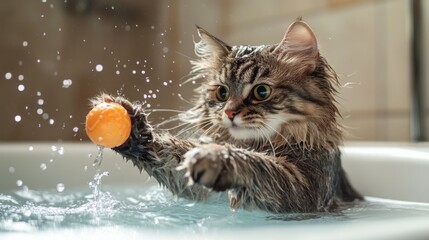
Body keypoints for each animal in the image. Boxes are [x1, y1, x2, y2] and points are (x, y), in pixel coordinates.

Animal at [93, 19, 362, 214]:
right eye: (222, 93)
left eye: (261, 91)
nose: (229, 112)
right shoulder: (199, 189)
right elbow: (171, 151)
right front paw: (131, 127)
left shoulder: (304, 187)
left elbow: (258, 163)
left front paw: (217, 158)